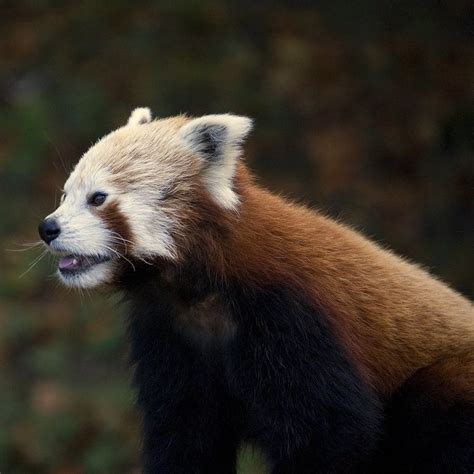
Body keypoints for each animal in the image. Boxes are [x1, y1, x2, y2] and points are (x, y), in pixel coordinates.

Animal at [39, 108, 472, 474]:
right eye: (64, 195)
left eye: (98, 198)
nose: (47, 228)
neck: (201, 293)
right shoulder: (169, 335)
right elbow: (186, 435)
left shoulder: (292, 317)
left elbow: (332, 434)